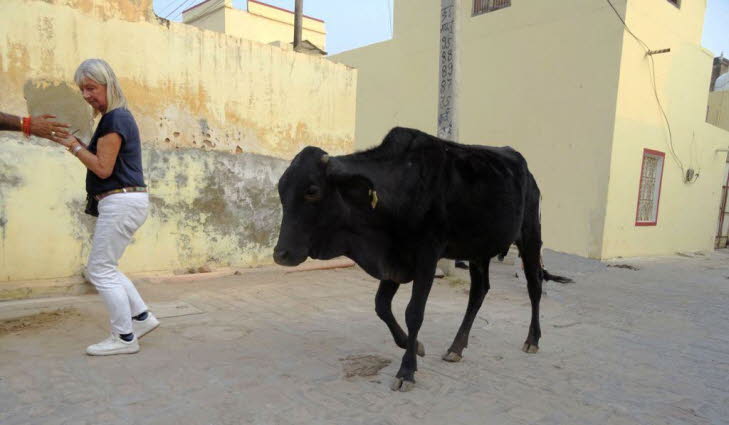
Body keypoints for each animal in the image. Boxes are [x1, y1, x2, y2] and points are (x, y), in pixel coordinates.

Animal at [273, 127, 571, 391]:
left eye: (312, 191)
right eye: (281, 190)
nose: (280, 254)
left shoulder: (426, 256)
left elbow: (414, 312)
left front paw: (407, 371)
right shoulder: (394, 260)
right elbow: (381, 306)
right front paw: (413, 345)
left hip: (530, 235)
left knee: (534, 286)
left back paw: (532, 339)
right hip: (479, 250)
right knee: (479, 291)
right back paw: (456, 347)